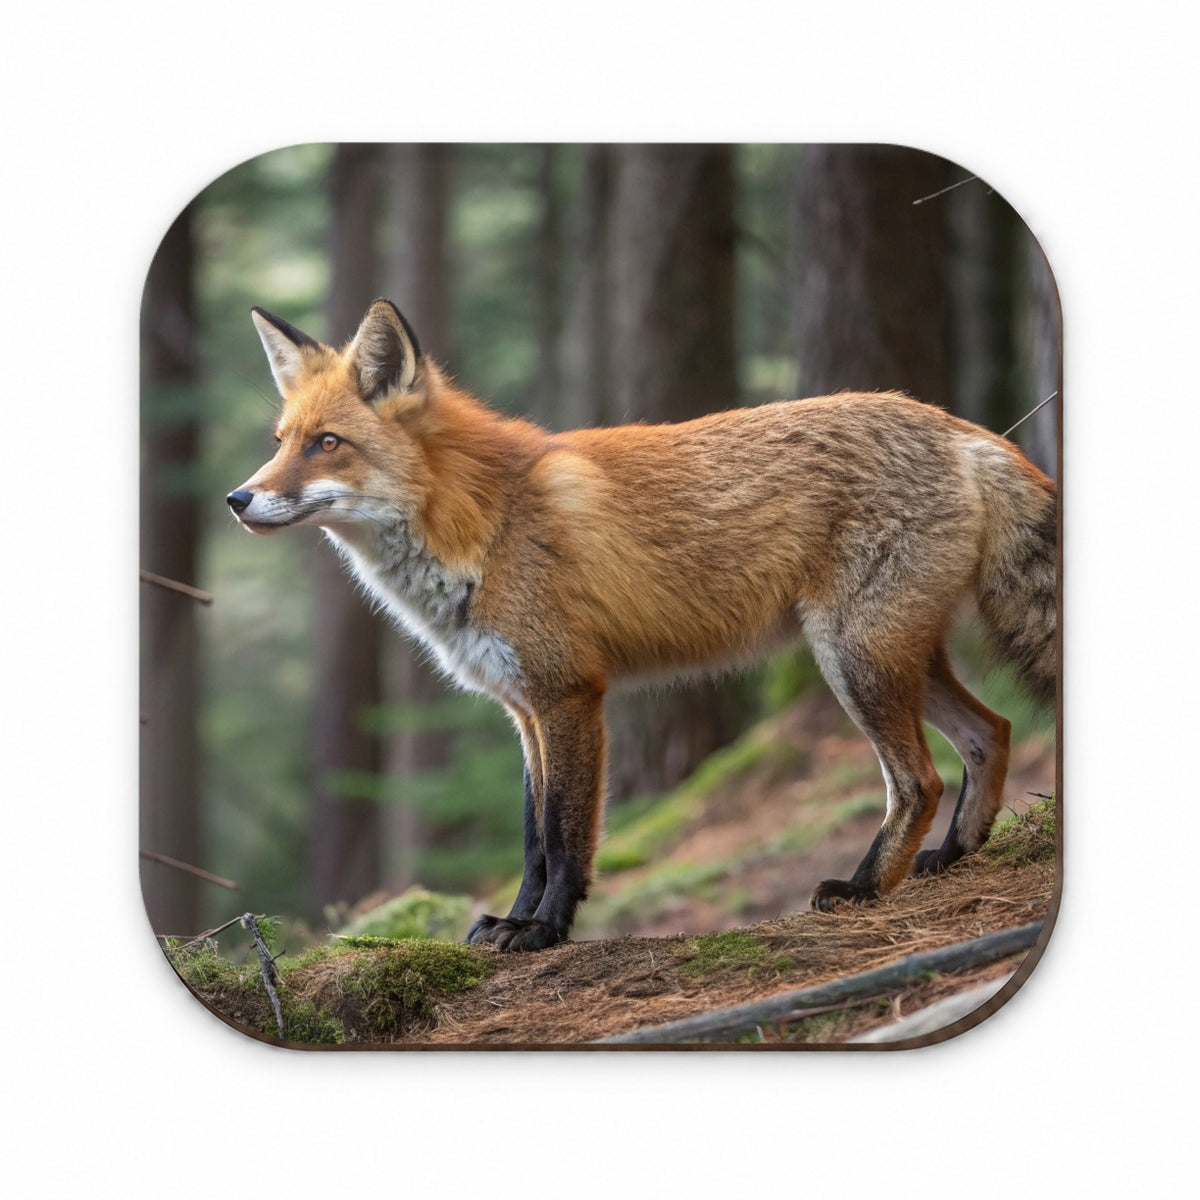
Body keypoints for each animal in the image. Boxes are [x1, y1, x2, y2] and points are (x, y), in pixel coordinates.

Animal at [228, 298, 1057, 952]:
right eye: (280, 441)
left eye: (327, 444)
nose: (237, 499)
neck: (481, 524)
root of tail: (961, 428)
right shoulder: (524, 708)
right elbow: (531, 842)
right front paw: (511, 923)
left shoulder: (571, 694)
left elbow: (565, 840)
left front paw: (544, 931)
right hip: (894, 657)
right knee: (994, 731)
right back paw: (953, 857)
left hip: (853, 659)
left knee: (919, 780)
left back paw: (861, 889)